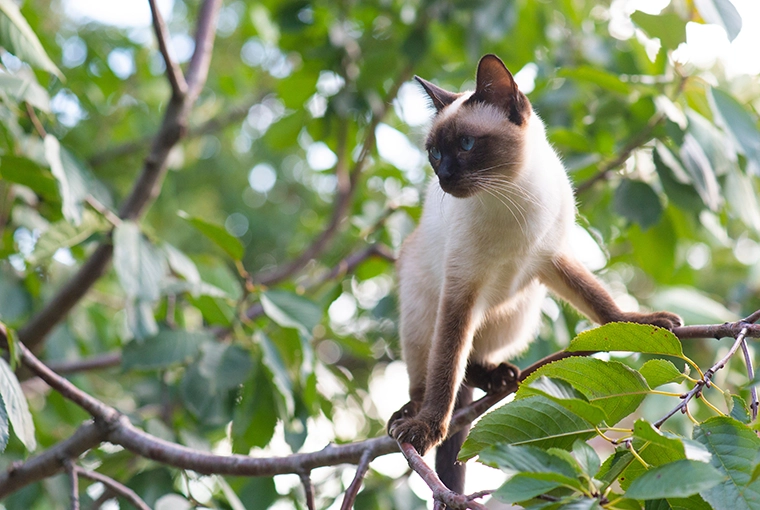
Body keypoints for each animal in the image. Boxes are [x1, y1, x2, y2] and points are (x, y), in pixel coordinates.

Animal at [388, 53, 680, 492]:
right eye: (434, 153)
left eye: (466, 145)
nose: (443, 177)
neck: (508, 197)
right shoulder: (461, 288)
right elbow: (445, 371)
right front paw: (426, 429)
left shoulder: (551, 258)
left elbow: (602, 304)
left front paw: (644, 322)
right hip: (423, 309)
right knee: (435, 371)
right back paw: (412, 411)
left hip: (519, 314)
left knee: (473, 361)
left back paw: (499, 376)